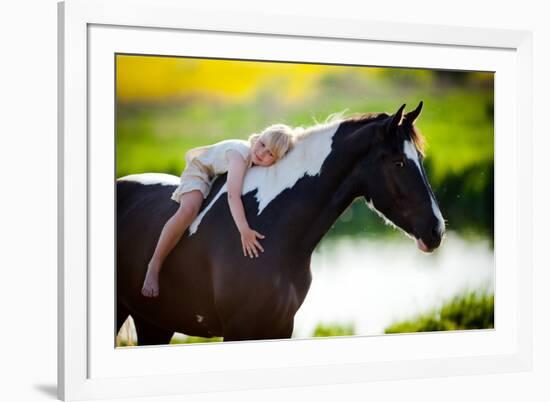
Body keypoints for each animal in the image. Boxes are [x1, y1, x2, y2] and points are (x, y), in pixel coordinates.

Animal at [117, 102, 448, 344]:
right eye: (399, 162)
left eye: (420, 158)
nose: (436, 230)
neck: (273, 227)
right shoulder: (239, 330)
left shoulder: (280, 326)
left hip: (154, 323)